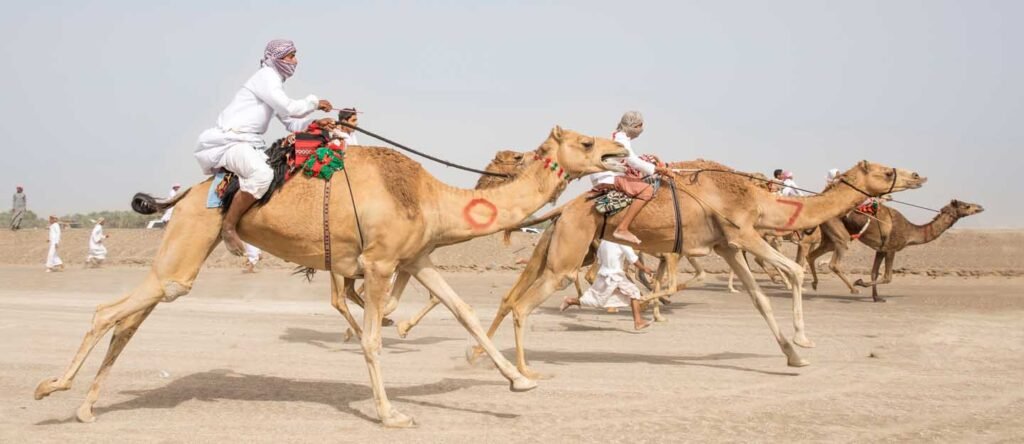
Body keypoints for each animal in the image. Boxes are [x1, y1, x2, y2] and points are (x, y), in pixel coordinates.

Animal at [33, 127, 629, 427]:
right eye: (585, 141)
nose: (619, 151)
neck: (429, 197)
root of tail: (183, 194)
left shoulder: (418, 259)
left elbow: (462, 312)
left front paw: (519, 380)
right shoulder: (381, 263)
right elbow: (371, 339)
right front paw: (391, 414)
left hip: (182, 253)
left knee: (131, 317)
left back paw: (85, 407)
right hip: (189, 238)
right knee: (110, 311)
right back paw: (51, 388)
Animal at [462, 160, 925, 377]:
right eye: (887, 170)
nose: (917, 176)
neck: (760, 201)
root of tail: (565, 208)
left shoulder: (727, 246)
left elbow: (760, 298)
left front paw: (792, 355)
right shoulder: (743, 233)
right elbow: (791, 273)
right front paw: (803, 341)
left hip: (561, 244)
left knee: (510, 296)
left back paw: (476, 355)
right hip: (570, 249)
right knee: (523, 305)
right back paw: (524, 371)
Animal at [807, 199, 983, 302]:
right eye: (967, 205)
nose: (980, 207)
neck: (910, 231)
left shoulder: (881, 249)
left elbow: (874, 272)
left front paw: (877, 297)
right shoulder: (892, 248)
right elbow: (887, 277)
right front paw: (860, 282)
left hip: (829, 237)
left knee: (811, 255)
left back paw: (815, 284)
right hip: (841, 236)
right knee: (833, 263)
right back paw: (854, 289)